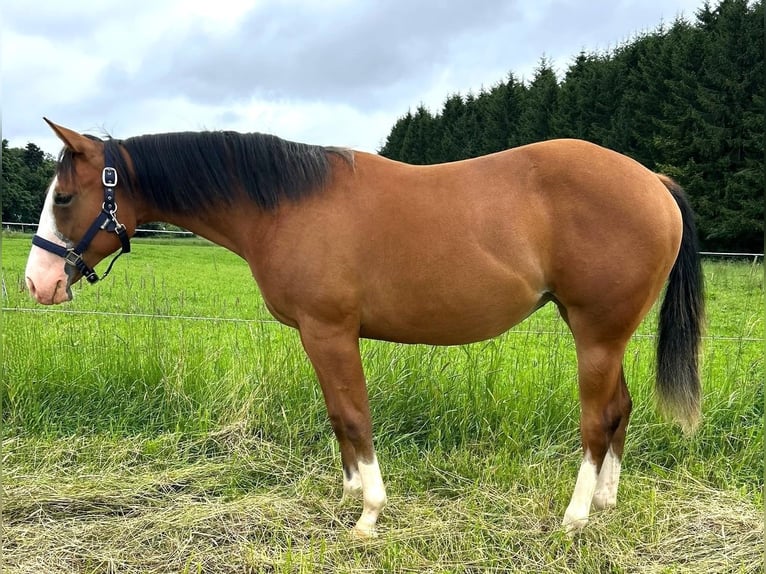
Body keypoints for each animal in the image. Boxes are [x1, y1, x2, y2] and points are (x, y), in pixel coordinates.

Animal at [25, 119, 704, 538]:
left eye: (64, 198)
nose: (37, 283)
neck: (286, 204)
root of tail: (653, 181)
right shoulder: (317, 335)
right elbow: (337, 415)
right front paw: (350, 495)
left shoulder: (329, 331)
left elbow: (354, 414)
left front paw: (369, 516)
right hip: (604, 336)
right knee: (619, 409)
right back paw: (607, 502)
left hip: (596, 334)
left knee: (596, 420)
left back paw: (575, 516)